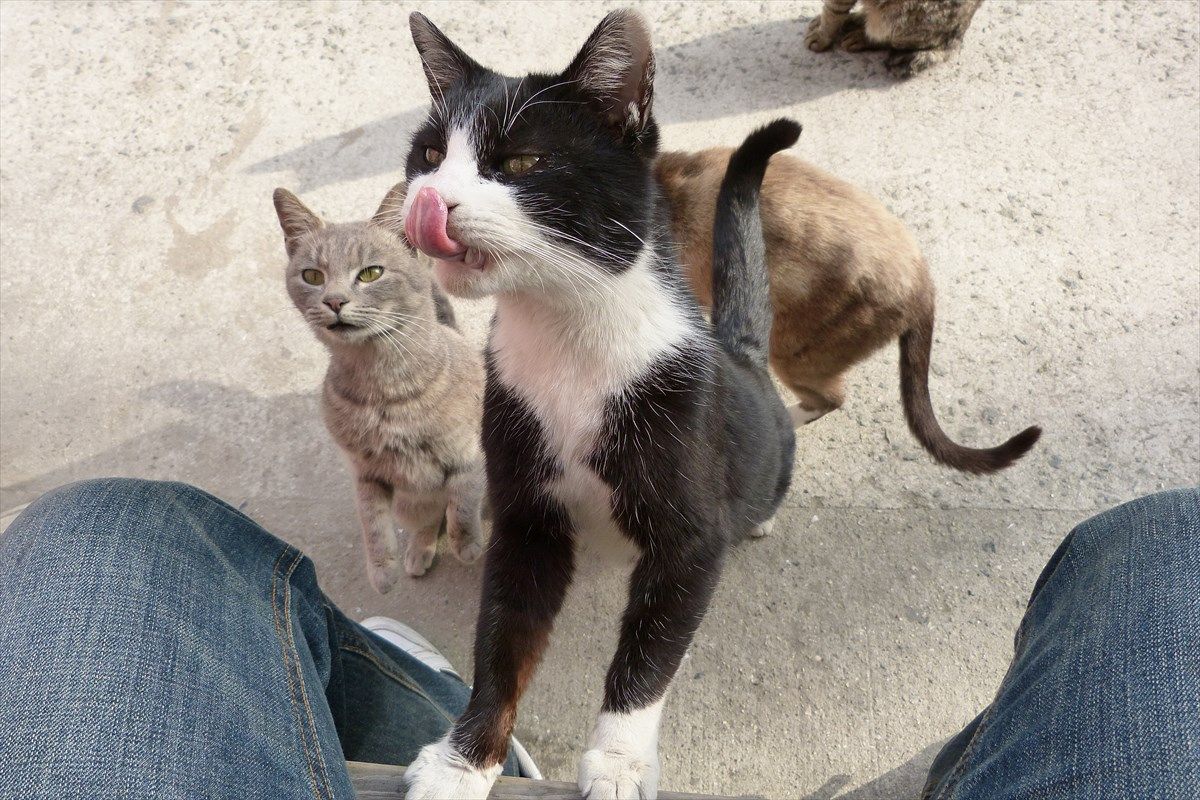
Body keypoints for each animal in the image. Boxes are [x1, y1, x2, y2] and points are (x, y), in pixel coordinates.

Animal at [273, 183, 486, 591]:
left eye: (371, 273)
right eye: (312, 276)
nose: (334, 300)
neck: (385, 393)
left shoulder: (468, 454)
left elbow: (463, 502)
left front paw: (467, 544)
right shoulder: (366, 473)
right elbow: (371, 521)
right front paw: (381, 569)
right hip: (408, 503)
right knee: (427, 521)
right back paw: (418, 551)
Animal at [396, 11, 797, 800]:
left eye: (521, 162)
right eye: (427, 155)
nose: (433, 199)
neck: (568, 343)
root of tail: (743, 350)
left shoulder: (690, 530)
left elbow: (648, 654)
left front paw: (618, 761)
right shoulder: (524, 515)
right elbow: (503, 643)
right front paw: (463, 761)